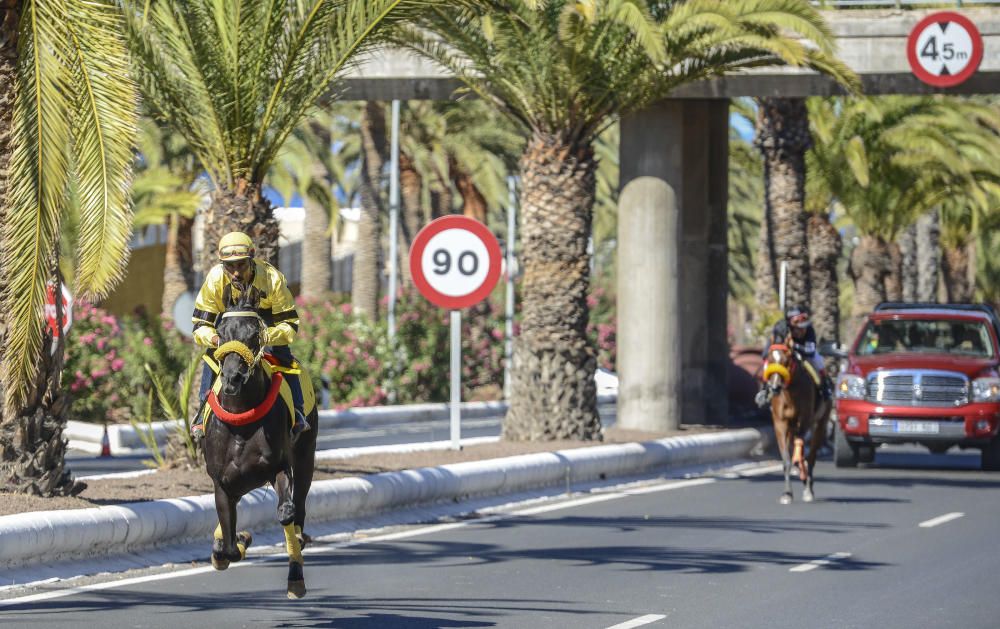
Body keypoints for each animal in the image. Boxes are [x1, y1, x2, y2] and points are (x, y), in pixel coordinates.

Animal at [200, 292, 316, 596]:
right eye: (220, 333)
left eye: (254, 334)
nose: (232, 378)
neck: (242, 420)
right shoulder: (222, 482)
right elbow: (229, 548)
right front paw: (235, 541)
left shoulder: (278, 466)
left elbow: (286, 513)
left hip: (306, 457)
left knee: (298, 508)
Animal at [760, 336, 832, 502]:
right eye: (769, 359)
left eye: (786, 360)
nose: (774, 388)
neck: (789, 392)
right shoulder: (780, 423)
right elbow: (786, 459)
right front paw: (787, 493)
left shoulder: (804, 420)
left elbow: (802, 452)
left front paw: (804, 481)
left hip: (820, 423)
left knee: (811, 456)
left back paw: (808, 487)